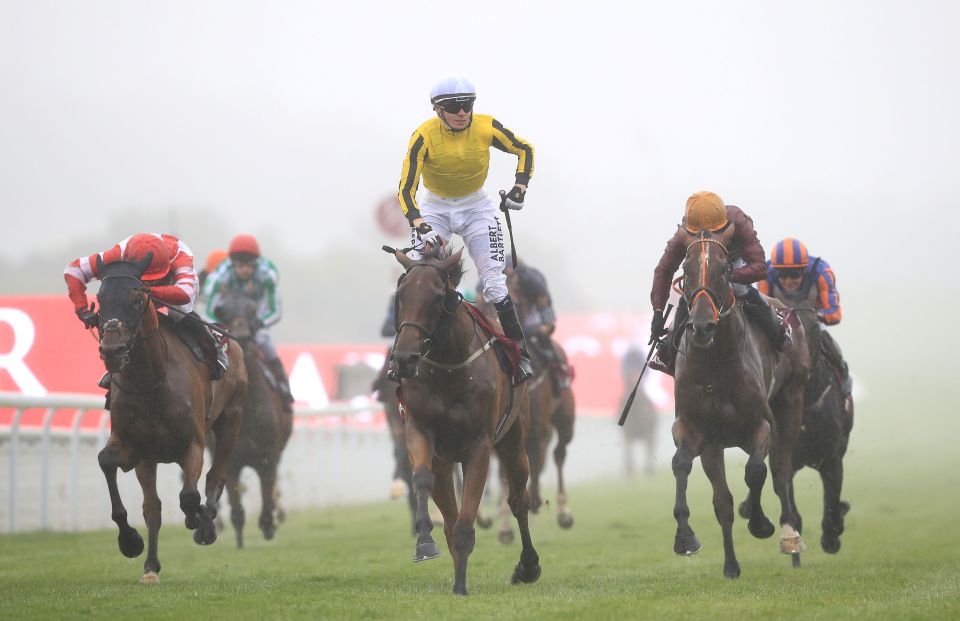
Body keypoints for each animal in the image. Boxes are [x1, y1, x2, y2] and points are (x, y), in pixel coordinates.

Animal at [93, 254, 246, 584]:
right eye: (99, 299)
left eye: (136, 299)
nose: (112, 350)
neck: (151, 380)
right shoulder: (134, 447)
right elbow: (108, 462)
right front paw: (130, 541)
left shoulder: (192, 444)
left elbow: (189, 495)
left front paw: (198, 519)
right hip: (150, 459)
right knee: (153, 507)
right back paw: (151, 565)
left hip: (231, 420)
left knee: (216, 476)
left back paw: (205, 525)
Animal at [206, 288, 288, 544]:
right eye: (222, 310)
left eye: (252, 310)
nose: (241, 336)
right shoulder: (231, 461)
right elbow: (237, 507)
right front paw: (240, 536)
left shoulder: (268, 457)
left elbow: (267, 495)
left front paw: (269, 525)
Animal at [388, 246, 540, 596]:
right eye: (401, 295)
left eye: (436, 296)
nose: (404, 358)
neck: (448, 366)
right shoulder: (419, 431)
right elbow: (422, 480)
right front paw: (424, 542)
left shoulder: (478, 447)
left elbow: (467, 522)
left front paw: (460, 586)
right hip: (445, 462)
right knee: (448, 510)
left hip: (514, 442)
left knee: (518, 499)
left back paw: (528, 566)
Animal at [668, 230, 808, 580]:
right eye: (686, 270)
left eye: (724, 270)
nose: (702, 326)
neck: (716, 365)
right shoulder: (698, 432)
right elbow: (686, 469)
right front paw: (686, 538)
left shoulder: (761, 424)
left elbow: (756, 471)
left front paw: (759, 522)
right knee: (725, 499)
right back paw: (731, 563)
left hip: (792, 399)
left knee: (780, 471)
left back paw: (790, 537)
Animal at [740, 306, 852, 552]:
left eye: (815, 328)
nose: (798, 361)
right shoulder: (783, 455)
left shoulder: (832, 459)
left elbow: (832, 505)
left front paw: (832, 533)